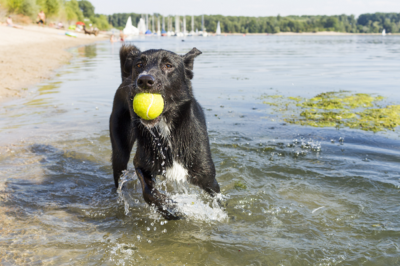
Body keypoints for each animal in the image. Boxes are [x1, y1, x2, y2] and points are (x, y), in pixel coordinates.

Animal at [111, 44, 220, 219]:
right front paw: (168, 208)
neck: (166, 128)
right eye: (139, 65)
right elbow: (149, 192)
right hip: (119, 153)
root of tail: (126, 79)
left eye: (168, 65)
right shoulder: (141, 164)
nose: (144, 80)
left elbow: (219, 204)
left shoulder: (209, 180)